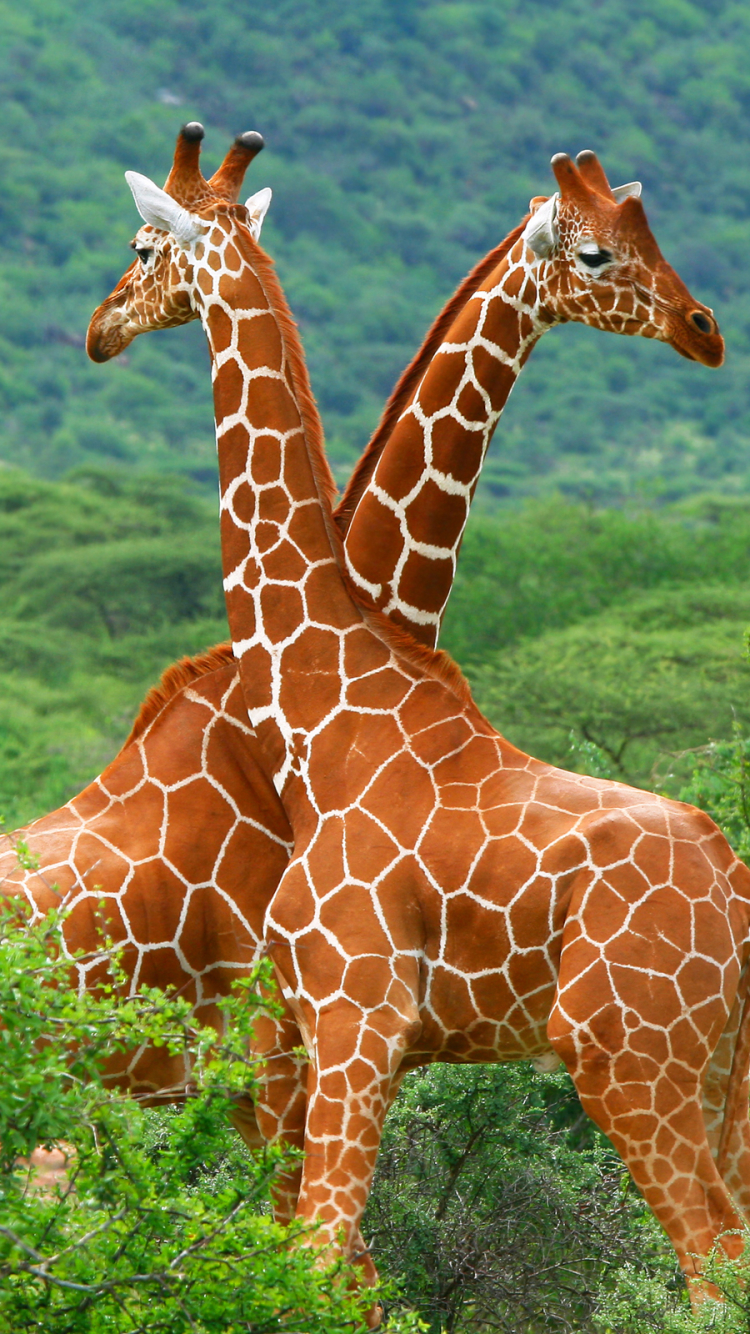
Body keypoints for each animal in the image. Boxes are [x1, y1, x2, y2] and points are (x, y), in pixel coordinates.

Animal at [86, 132, 750, 1314]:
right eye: (599, 249)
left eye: (141, 244)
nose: (705, 327)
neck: (321, 708)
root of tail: (738, 893)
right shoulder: (314, 1036)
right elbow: (334, 1266)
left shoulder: (351, 1018)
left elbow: (319, 1261)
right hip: (717, 1076)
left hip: (629, 1056)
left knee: (711, 1260)